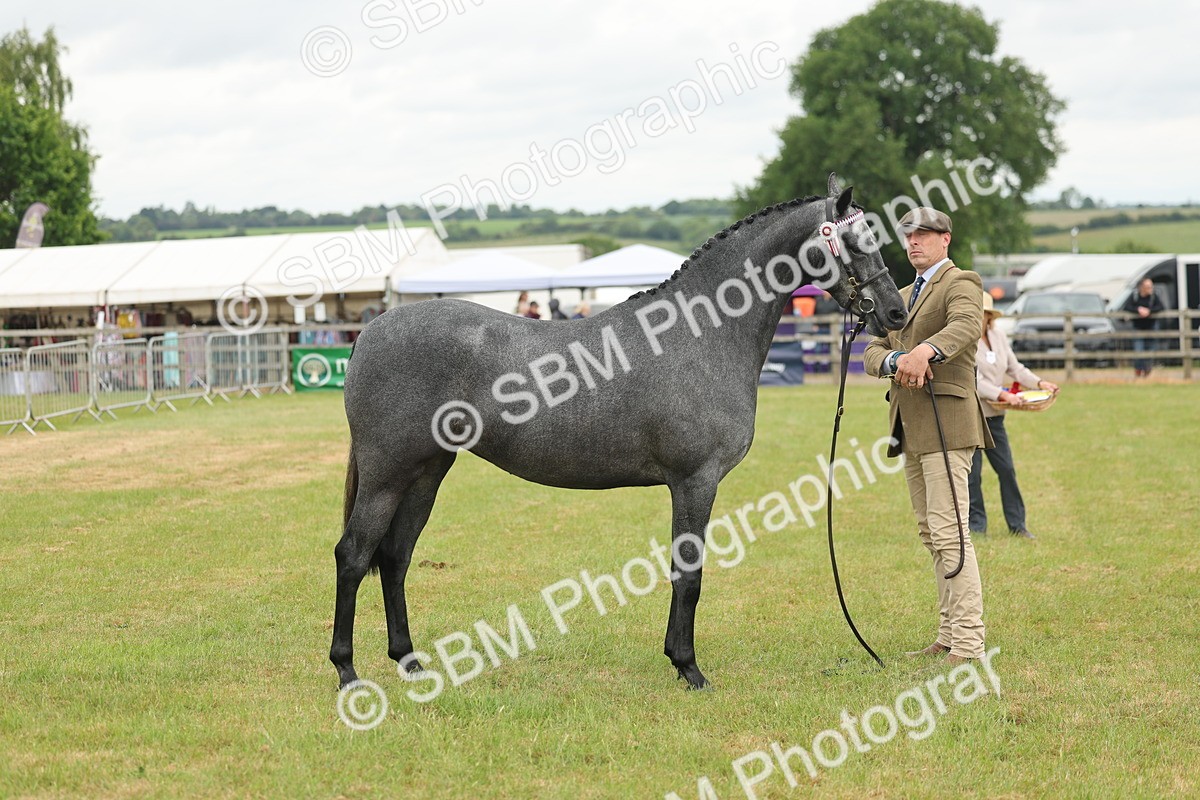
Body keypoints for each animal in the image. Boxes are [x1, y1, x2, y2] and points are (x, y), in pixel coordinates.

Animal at [331, 175, 908, 691]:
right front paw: (688, 668)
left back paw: (410, 663)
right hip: (387, 474)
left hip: (426, 472)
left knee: (394, 557)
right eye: (856, 240)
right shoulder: (695, 481)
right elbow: (689, 573)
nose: (896, 311)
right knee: (354, 555)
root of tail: (371, 330)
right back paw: (347, 672)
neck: (702, 333)